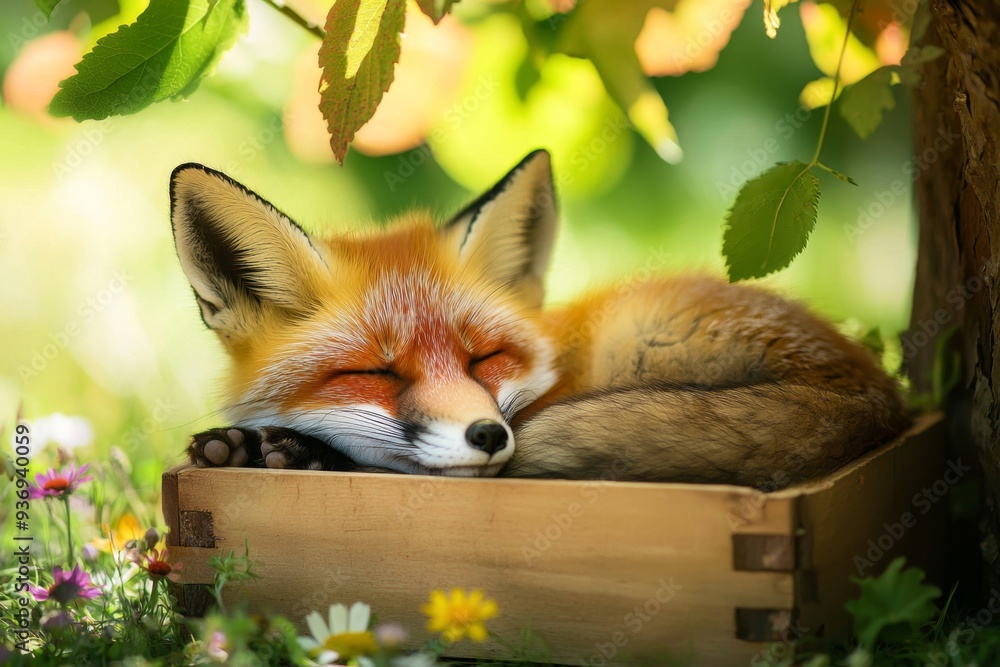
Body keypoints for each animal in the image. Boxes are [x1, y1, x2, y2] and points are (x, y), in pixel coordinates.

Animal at [172, 150, 909, 488]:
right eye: (374, 372)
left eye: (485, 358)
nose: (489, 436)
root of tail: (881, 392)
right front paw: (243, 448)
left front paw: (290, 451)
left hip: (636, 333)